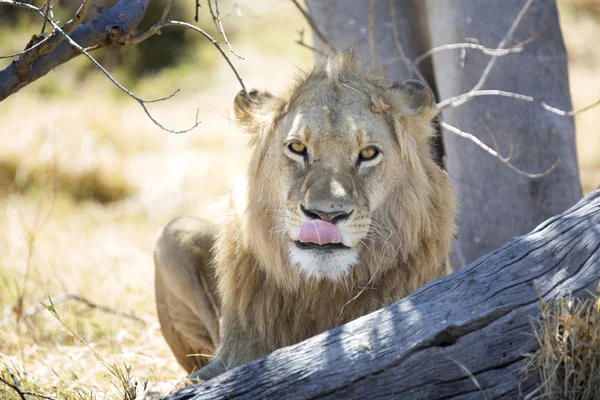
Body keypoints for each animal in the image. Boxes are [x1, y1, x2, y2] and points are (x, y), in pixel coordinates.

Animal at [154, 50, 454, 382]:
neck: (322, 289)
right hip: (172, 233)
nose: (325, 215)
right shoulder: (233, 354)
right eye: (297, 147)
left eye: (367, 153)